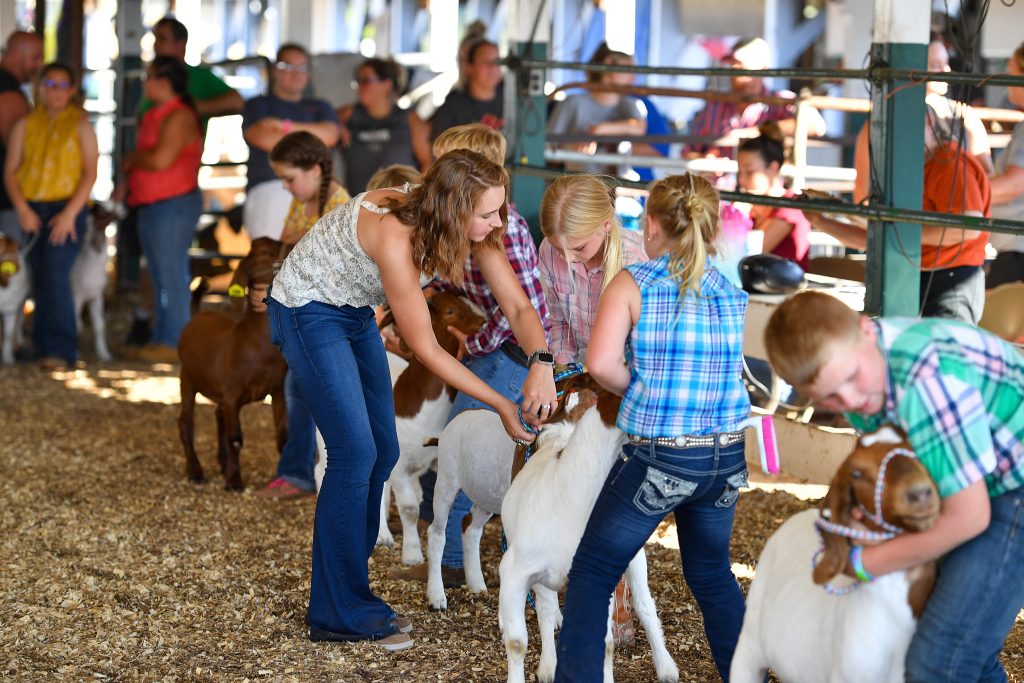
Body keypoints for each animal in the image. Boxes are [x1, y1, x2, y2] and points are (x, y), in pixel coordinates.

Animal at [176, 237, 288, 489]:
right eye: (262, 253)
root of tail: (197, 315)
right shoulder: (232, 393)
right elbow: (236, 439)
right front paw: (234, 481)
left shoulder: (277, 390)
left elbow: (282, 435)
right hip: (187, 379)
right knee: (186, 423)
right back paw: (195, 471)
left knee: (218, 416)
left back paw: (221, 462)